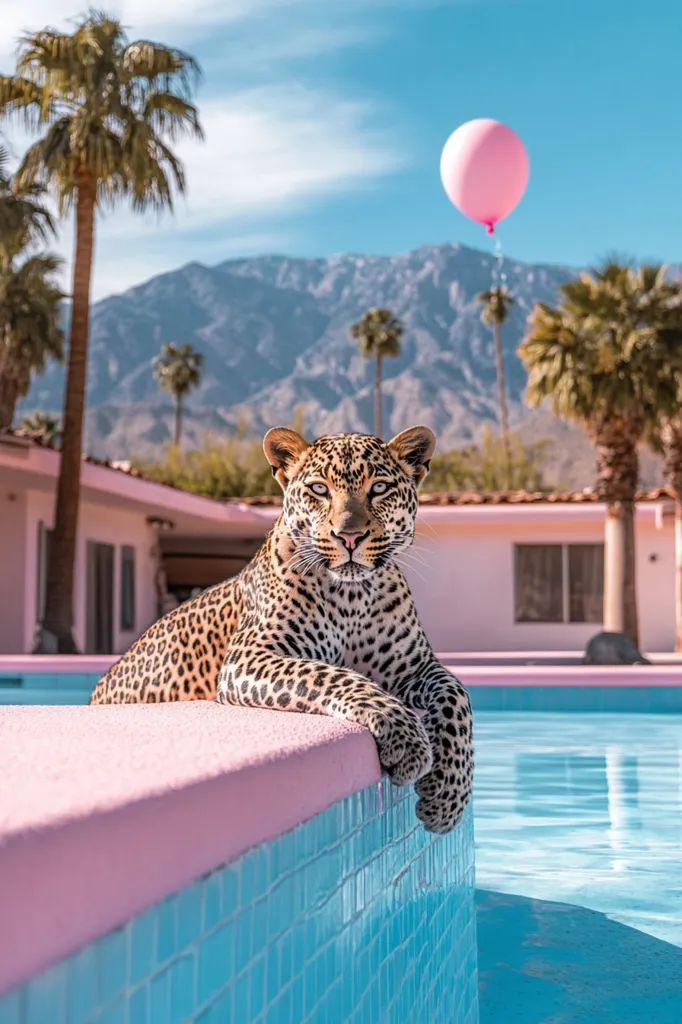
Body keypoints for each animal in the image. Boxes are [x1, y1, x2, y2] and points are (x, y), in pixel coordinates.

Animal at [89, 425, 473, 833]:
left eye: (380, 488)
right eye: (319, 489)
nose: (349, 537)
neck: (352, 596)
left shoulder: (415, 665)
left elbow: (457, 695)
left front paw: (447, 796)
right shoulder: (251, 656)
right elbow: (331, 675)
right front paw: (405, 737)